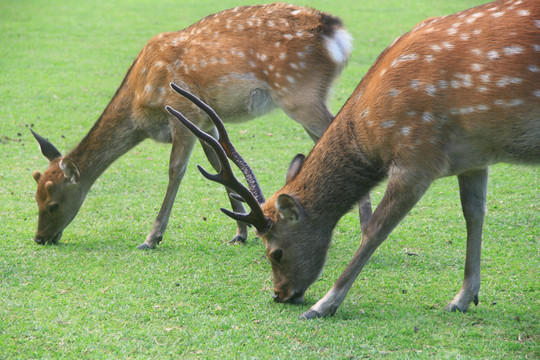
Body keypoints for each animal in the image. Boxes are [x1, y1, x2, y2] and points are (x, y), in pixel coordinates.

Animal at [29, 2, 354, 249]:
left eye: (52, 204)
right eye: (35, 196)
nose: (40, 238)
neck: (138, 102)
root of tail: (337, 34)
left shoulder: (181, 112)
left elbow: (176, 171)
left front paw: (152, 238)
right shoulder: (207, 122)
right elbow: (219, 164)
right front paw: (240, 232)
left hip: (299, 93)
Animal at [170, 0, 540, 320]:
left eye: (274, 252)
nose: (280, 294)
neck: (373, 130)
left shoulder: (417, 154)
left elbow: (376, 229)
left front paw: (323, 304)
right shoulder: (474, 156)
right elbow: (474, 214)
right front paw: (463, 297)